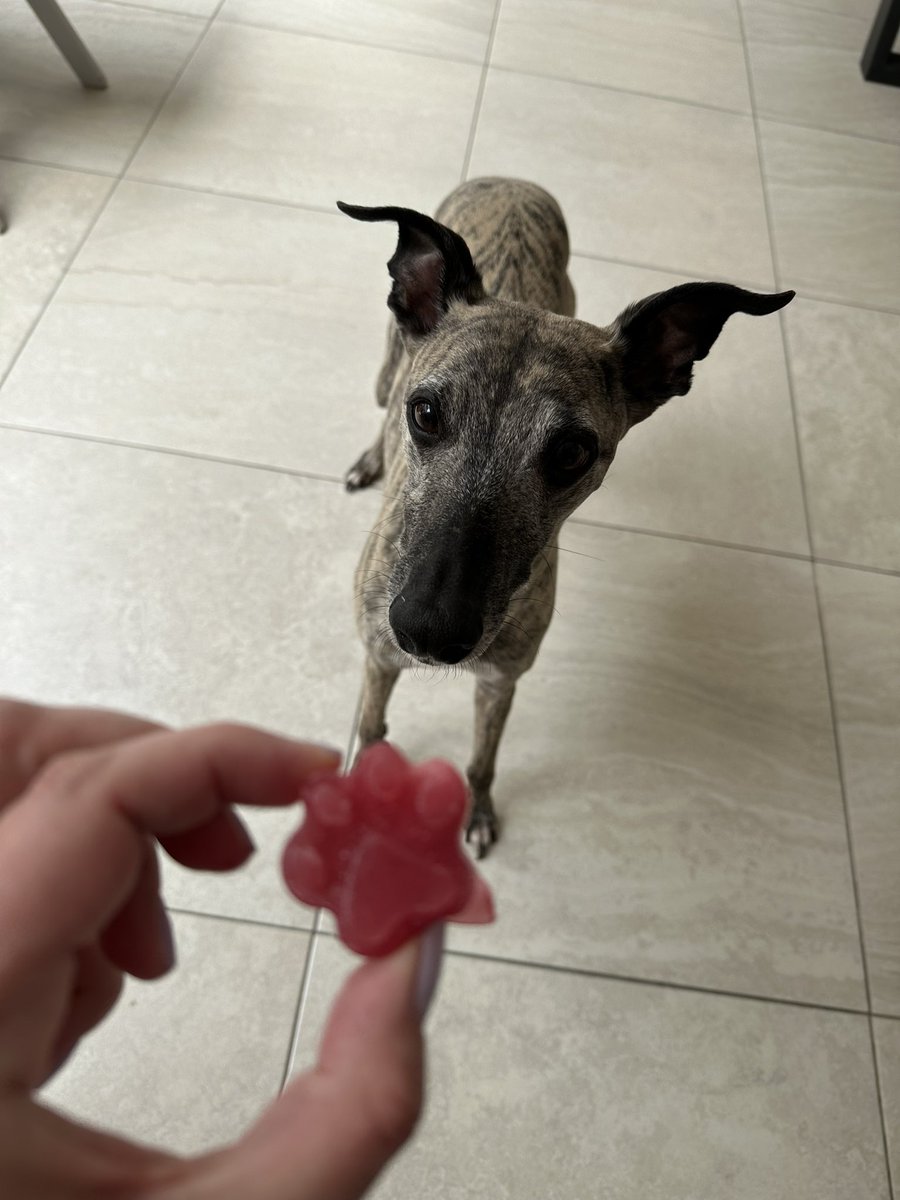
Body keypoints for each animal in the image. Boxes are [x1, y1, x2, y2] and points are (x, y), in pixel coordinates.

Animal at [340, 175, 796, 854]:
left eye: (571, 453)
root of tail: (509, 179)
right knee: (379, 397)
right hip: (389, 365)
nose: (429, 632)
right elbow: (370, 729)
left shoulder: (501, 680)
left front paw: (477, 809)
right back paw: (371, 458)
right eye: (425, 413)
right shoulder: (377, 657)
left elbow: (483, 758)